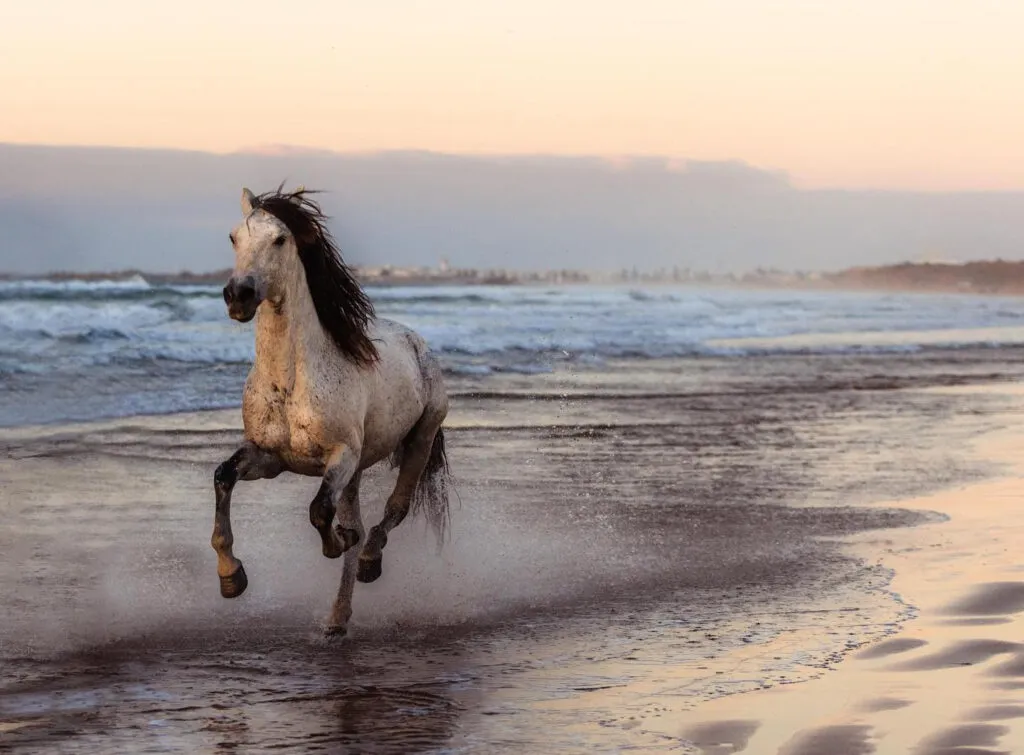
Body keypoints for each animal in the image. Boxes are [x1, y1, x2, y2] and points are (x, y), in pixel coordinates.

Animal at [211, 184, 452, 636]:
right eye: (233, 237)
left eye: (280, 239)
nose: (239, 296)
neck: (291, 381)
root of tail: (416, 341)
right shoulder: (269, 457)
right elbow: (223, 477)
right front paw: (231, 577)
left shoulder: (340, 457)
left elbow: (319, 512)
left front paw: (338, 542)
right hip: (356, 472)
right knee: (359, 520)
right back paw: (337, 619)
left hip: (419, 440)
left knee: (394, 509)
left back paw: (369, 562)